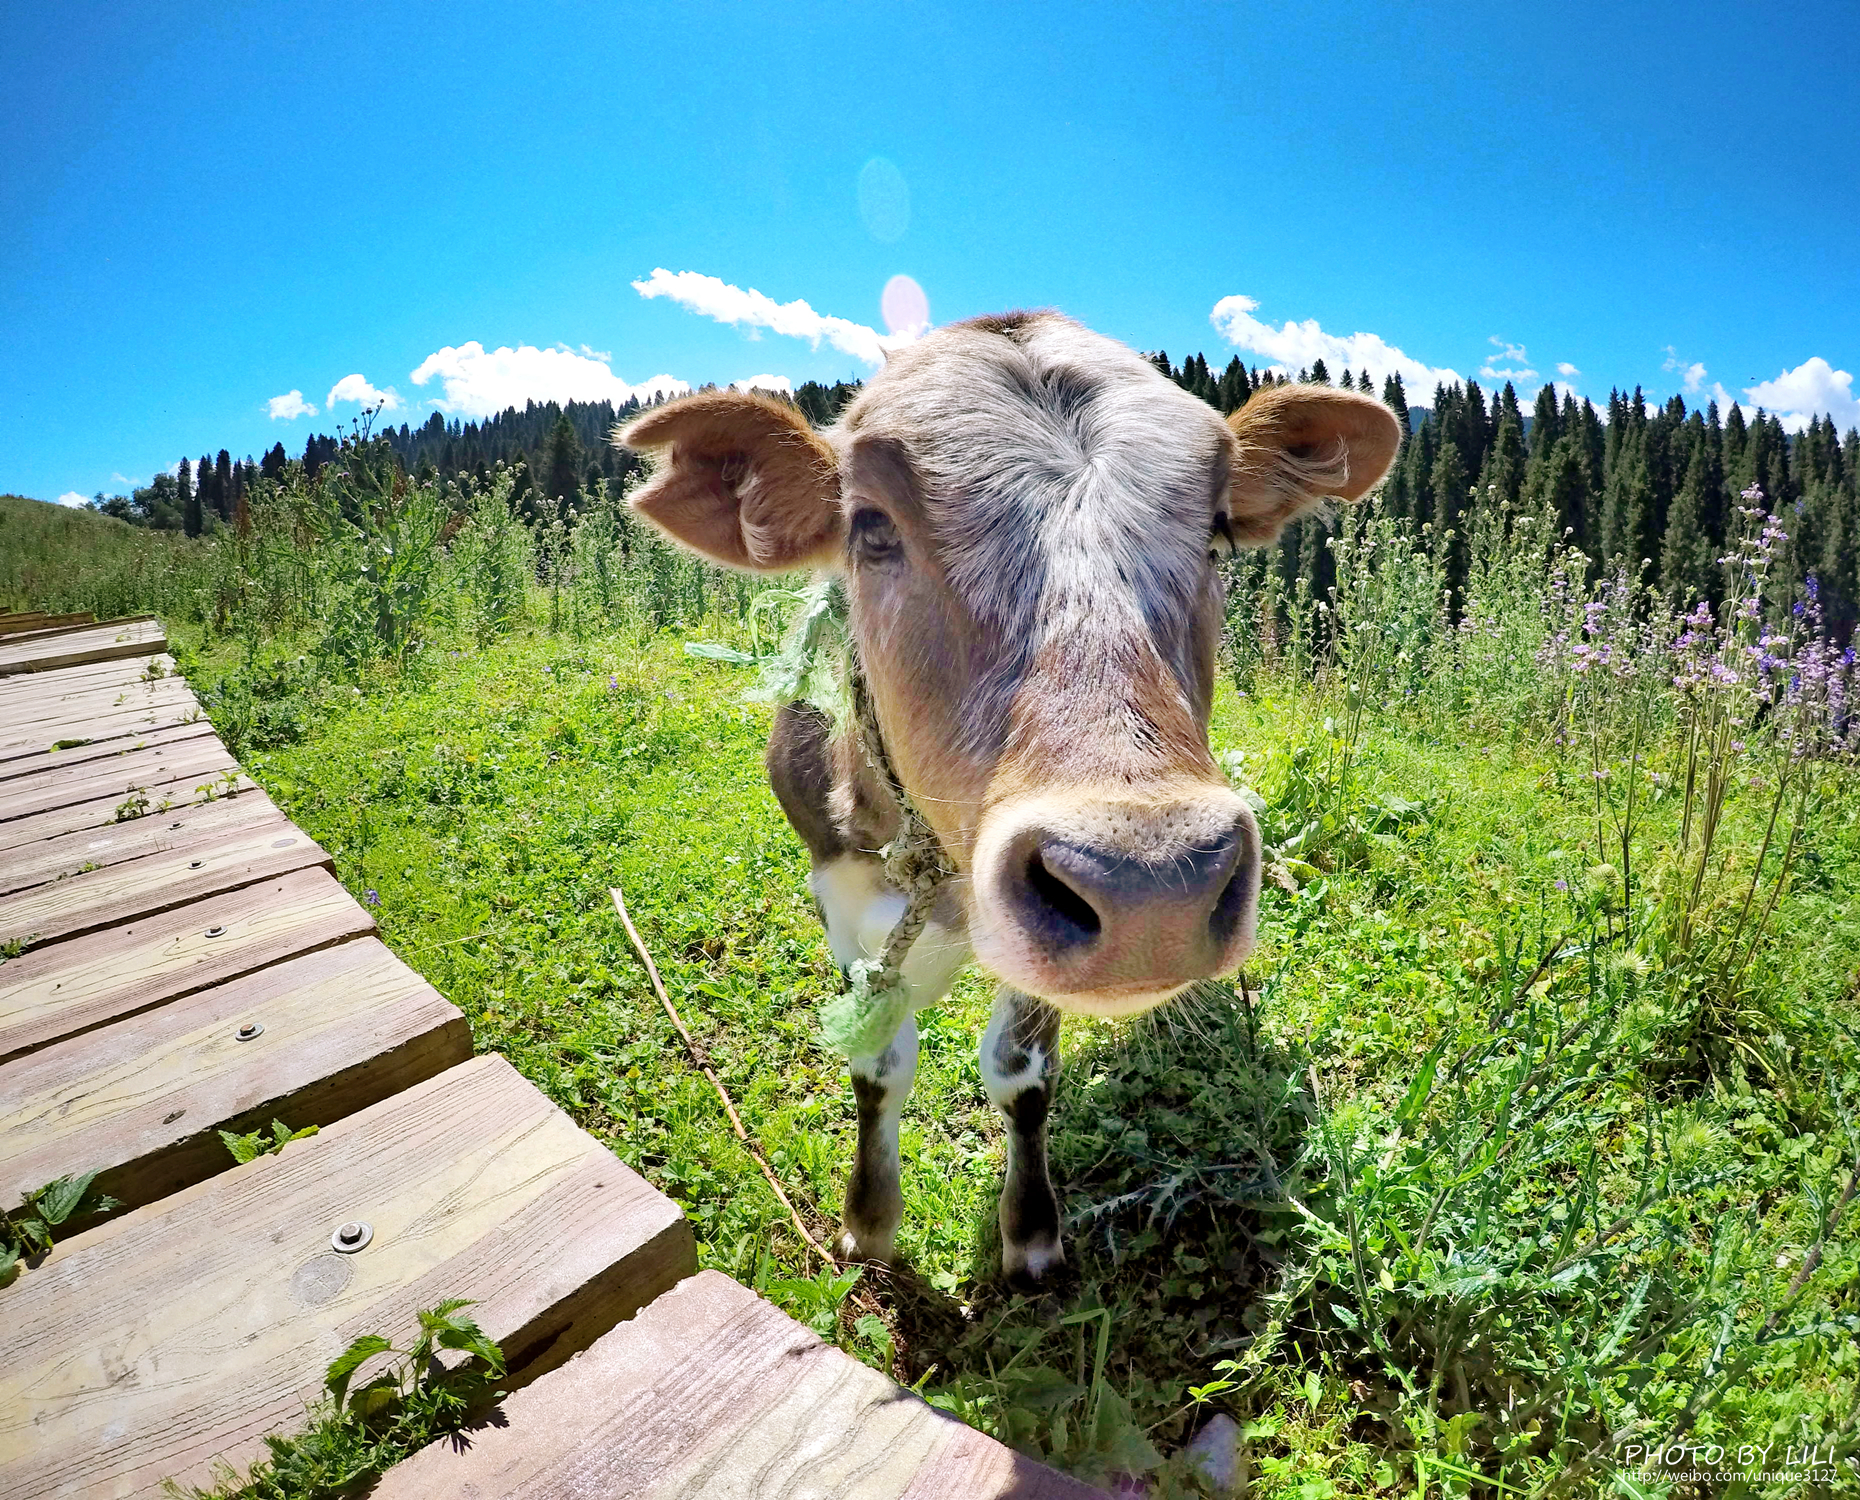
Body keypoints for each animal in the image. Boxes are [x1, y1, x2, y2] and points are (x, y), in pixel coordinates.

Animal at [619, 312, 1399, 1286]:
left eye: (1216, 534)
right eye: (869, 527)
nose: (1154, 887)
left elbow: (1021, 1073)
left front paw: (1029, 1234)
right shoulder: (834, 887)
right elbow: (878, 1057)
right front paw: (869, 1222)